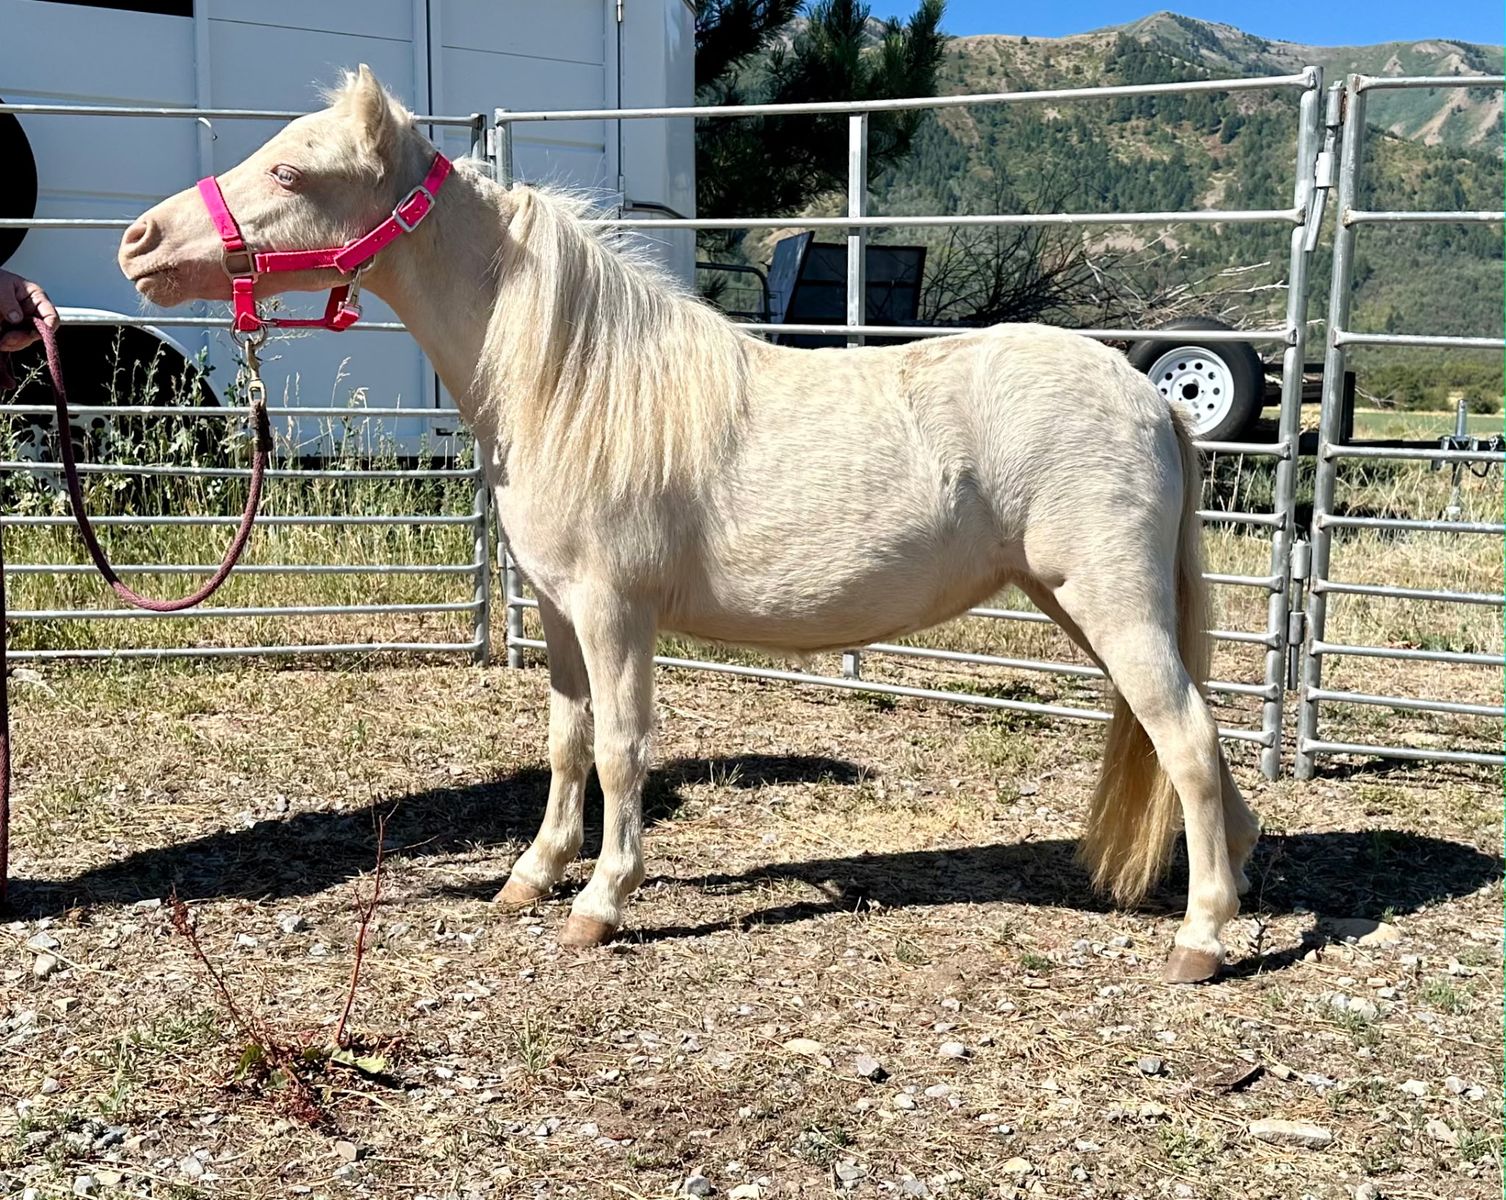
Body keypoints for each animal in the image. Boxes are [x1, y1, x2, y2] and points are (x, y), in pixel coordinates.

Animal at [117, 66, 1260, 983]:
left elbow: (623, 752)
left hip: (1111, 605)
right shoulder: (561, 615)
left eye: (290, 174)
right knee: (1190, 743)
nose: (138, 241)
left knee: (1190, 739)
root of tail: (1145, 393)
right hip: (1082, 609)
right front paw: (531, 875)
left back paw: (1202, 939)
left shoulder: (614, 612)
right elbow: (567, 743)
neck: (569, 384)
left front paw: (598, 904)